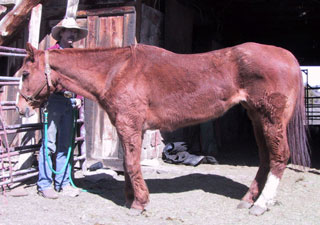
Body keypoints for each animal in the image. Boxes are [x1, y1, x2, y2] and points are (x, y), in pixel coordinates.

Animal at [15, 42, 310, 216]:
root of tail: (287, 55)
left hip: (271, 119)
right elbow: (129, 162)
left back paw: (261, 204)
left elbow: (131, 163)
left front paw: (138, 204)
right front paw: (131, 199)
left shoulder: (129, 125)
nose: (20, 108)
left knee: (279, 157)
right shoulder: (130, 128)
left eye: (25, 74)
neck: (116, 71)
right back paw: (248, 199)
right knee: (265, 159)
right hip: (257, 118)